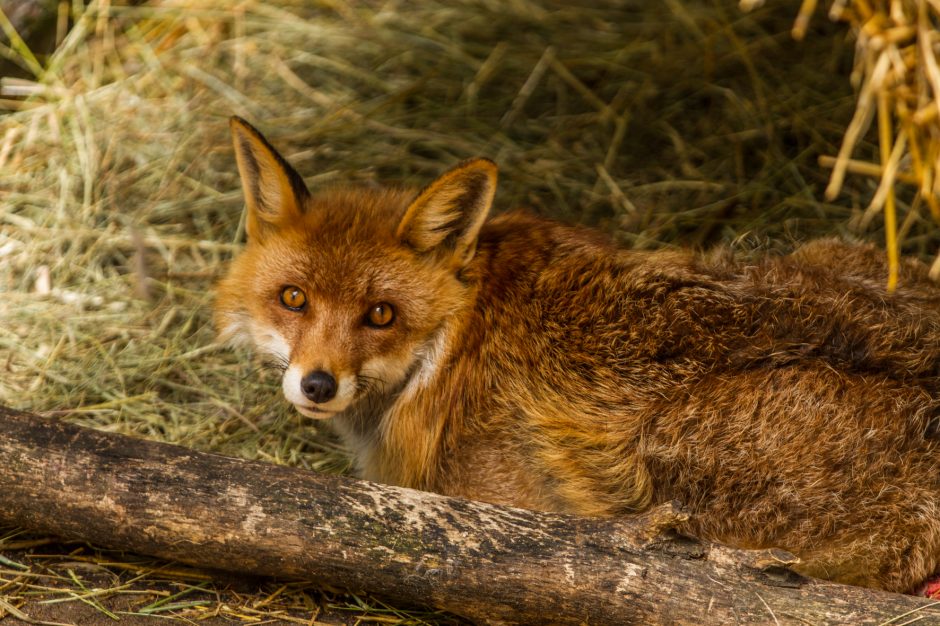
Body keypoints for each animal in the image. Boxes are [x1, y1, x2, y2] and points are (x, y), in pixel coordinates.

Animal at [217, 116, 940, 588]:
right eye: (293, 298)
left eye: (380, 315)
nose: (317, 385)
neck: (453, 345)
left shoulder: (498, 505)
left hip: (667, 448)